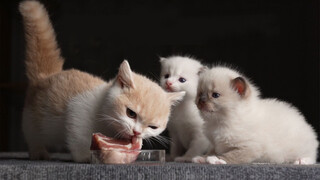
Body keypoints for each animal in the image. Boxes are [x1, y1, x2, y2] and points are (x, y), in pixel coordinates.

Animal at [19, 0, 185, 162]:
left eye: (153, 126)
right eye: (131, 113)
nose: (137, 132)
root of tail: (46, 75)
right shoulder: (77, 111)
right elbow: (78, 137)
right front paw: (86, 156)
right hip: (32, 118)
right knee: (32, 134)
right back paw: (38, 151)